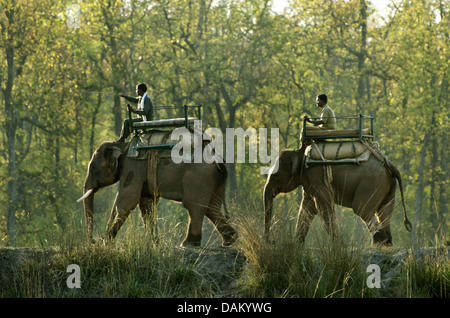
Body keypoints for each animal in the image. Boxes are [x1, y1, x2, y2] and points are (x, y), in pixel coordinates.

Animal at [78, 140, 237, 247]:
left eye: (92, 168)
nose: (94, 241)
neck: (121, 144)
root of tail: (218, 160)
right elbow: (145, 203)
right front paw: (155, 243)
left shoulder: (132, 168)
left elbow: (127, 200)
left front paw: (106, 242)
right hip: (214, 181)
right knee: (211, 207)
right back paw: (229, 241)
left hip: (198, 178)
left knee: (194, 206)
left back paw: (187, 244)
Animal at [262, 145, 414, 246]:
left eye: (275, 177)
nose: (272, 241)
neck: (300, 153)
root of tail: (389, 165)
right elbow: (306, 209)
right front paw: (297, 245)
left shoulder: (316, 177)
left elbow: (324, 207)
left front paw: (339, 245)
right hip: (388, 188)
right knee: (384, 212)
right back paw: (386, 243)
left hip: (371, 184)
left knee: (361, 208)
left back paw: (378, 242)